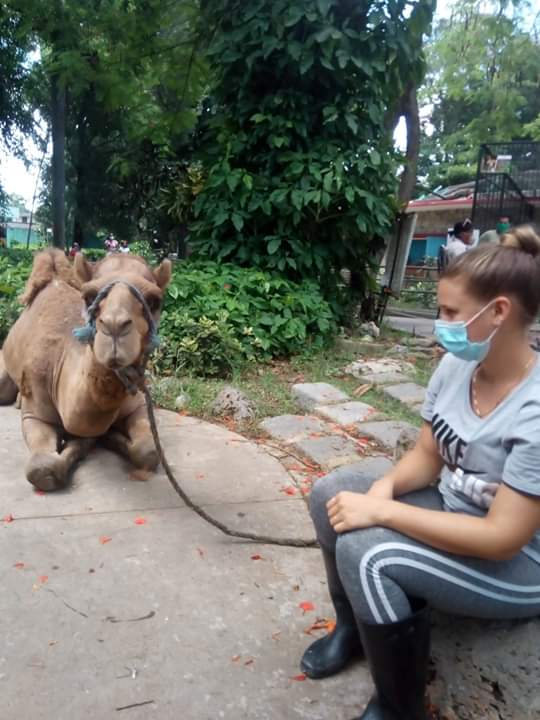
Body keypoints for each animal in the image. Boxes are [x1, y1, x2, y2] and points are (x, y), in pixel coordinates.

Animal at [0, 248, 171, 490]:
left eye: (155, 301)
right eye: (89, 296)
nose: (115, 326)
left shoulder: (137, 403)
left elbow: (148, 451)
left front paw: (107, 437)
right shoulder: (34, 413)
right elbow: (42, 468)